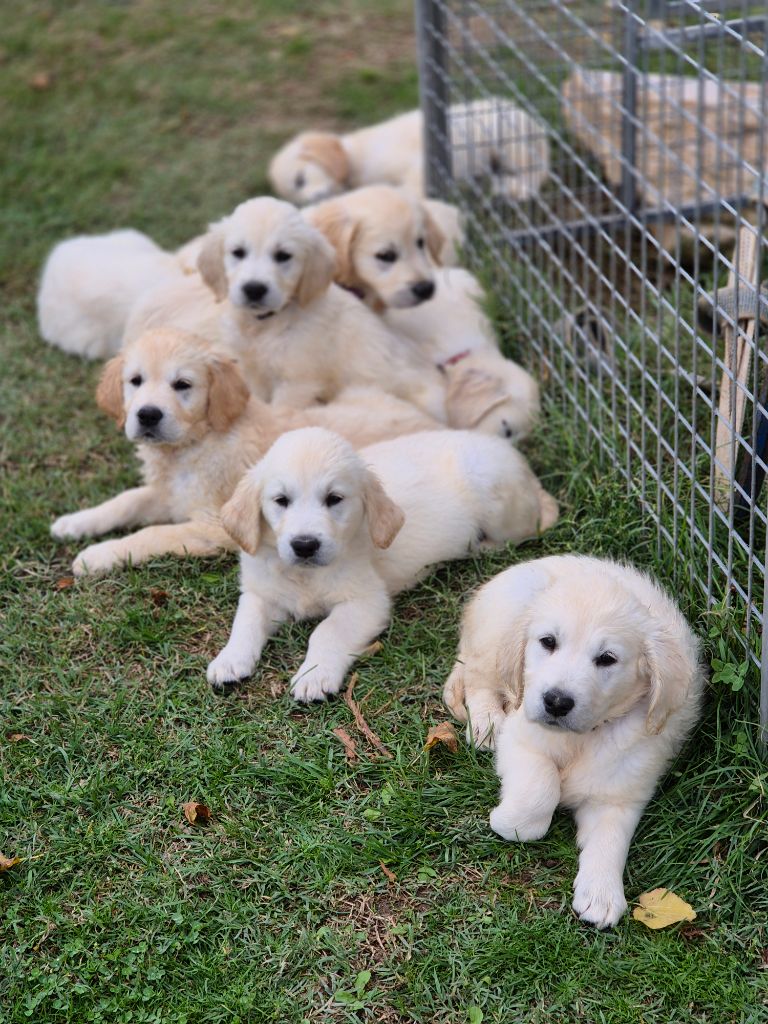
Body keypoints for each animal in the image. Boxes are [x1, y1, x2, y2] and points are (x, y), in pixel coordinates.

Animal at [51, 325, 438, 577]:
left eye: (182, 385)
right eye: (135, 381)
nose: (147, 414)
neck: (195, 444)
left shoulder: (215, 524)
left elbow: (155, 532)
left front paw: (98, 555)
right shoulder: (170, 493)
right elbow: (126, 500)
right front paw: (76, 522)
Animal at [208, 425, 561, 704]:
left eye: (334, 499)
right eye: (281, 500)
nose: (305, 545)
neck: (307, 575)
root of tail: (522, 465)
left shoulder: (367, 601)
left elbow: (327, 631)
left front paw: (314, 674)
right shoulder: (260, 592)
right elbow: (246, 620)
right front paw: (230, 659)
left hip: (499, 505)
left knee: (528, 527)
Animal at [268, 98, 548, 203]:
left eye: (300, 179)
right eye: (294, 196)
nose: (311, 202)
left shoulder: (416, 165)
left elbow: (409, 191)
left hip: (510, 146)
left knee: (536, 172)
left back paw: (518, 189)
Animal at [444, 557, 704, 933]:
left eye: (607, 658)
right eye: (548, 642)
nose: (555, 702)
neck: (582, 737)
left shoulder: (620, 793)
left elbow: (610, 840)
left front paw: (602, 893)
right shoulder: (521, 740)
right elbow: (540, 789)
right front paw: (510, 821)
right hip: (497, 634)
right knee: (478, 677)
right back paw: (486, 722)